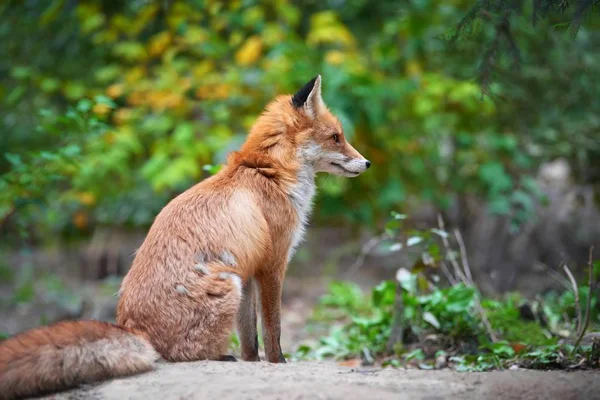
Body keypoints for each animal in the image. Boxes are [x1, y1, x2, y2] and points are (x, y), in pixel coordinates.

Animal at [0, 76, 370, 400]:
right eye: (336, 137)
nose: (366, 163)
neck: (269, 173)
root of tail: (133, 328)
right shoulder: (272, 266)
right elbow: (273, 329)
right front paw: (278, 363)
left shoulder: (250, 270)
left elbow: (249, 340)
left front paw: (252, 363)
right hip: (227, 285)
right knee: (183, 354)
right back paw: (219, 357)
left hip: (235, 281)